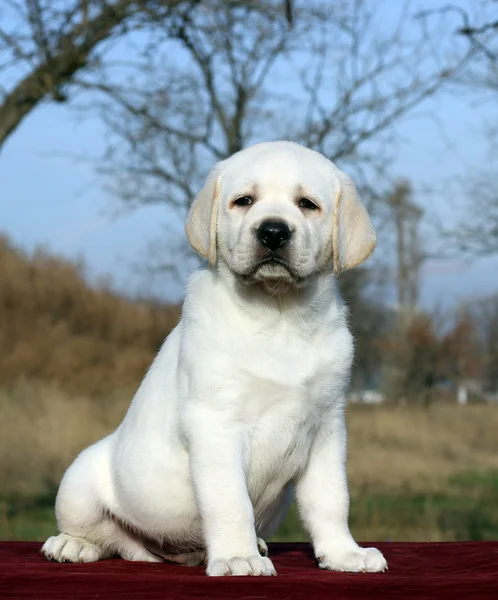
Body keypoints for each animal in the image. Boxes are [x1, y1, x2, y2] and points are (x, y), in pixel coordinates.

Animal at [41, 141, 386, 576]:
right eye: (244, 201)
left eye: (307, 204)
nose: (273, 231)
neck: (280, 315)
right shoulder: (215, 424)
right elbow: (230, 500)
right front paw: (239, 557)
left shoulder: (326, 427)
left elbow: (332, 499)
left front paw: (344, 553)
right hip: (80, 483)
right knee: (97, 534)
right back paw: (71, 544)